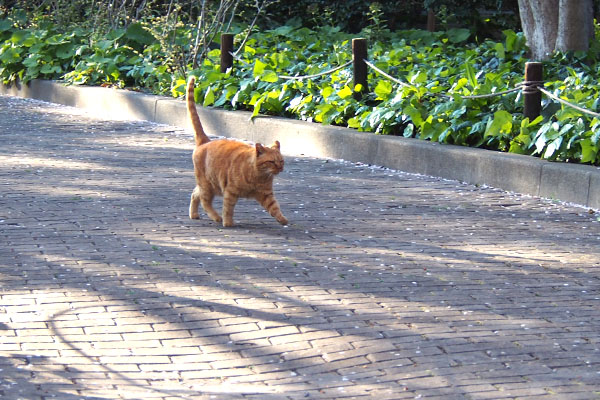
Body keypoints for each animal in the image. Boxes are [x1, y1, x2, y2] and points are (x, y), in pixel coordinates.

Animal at [189, 76, 290, 227]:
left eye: (281, 161)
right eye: (272, 162)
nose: (280, 168)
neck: (259, 175)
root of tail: (205, 141)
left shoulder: (267, 195)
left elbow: (275, 208)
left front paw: (282, 219)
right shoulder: (230, 192)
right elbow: (228, 209)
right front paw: (228, 223)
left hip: (210, 185)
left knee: (195, 194)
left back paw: (194, 214)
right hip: (208, 185)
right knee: (204, 201)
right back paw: (216, 217)